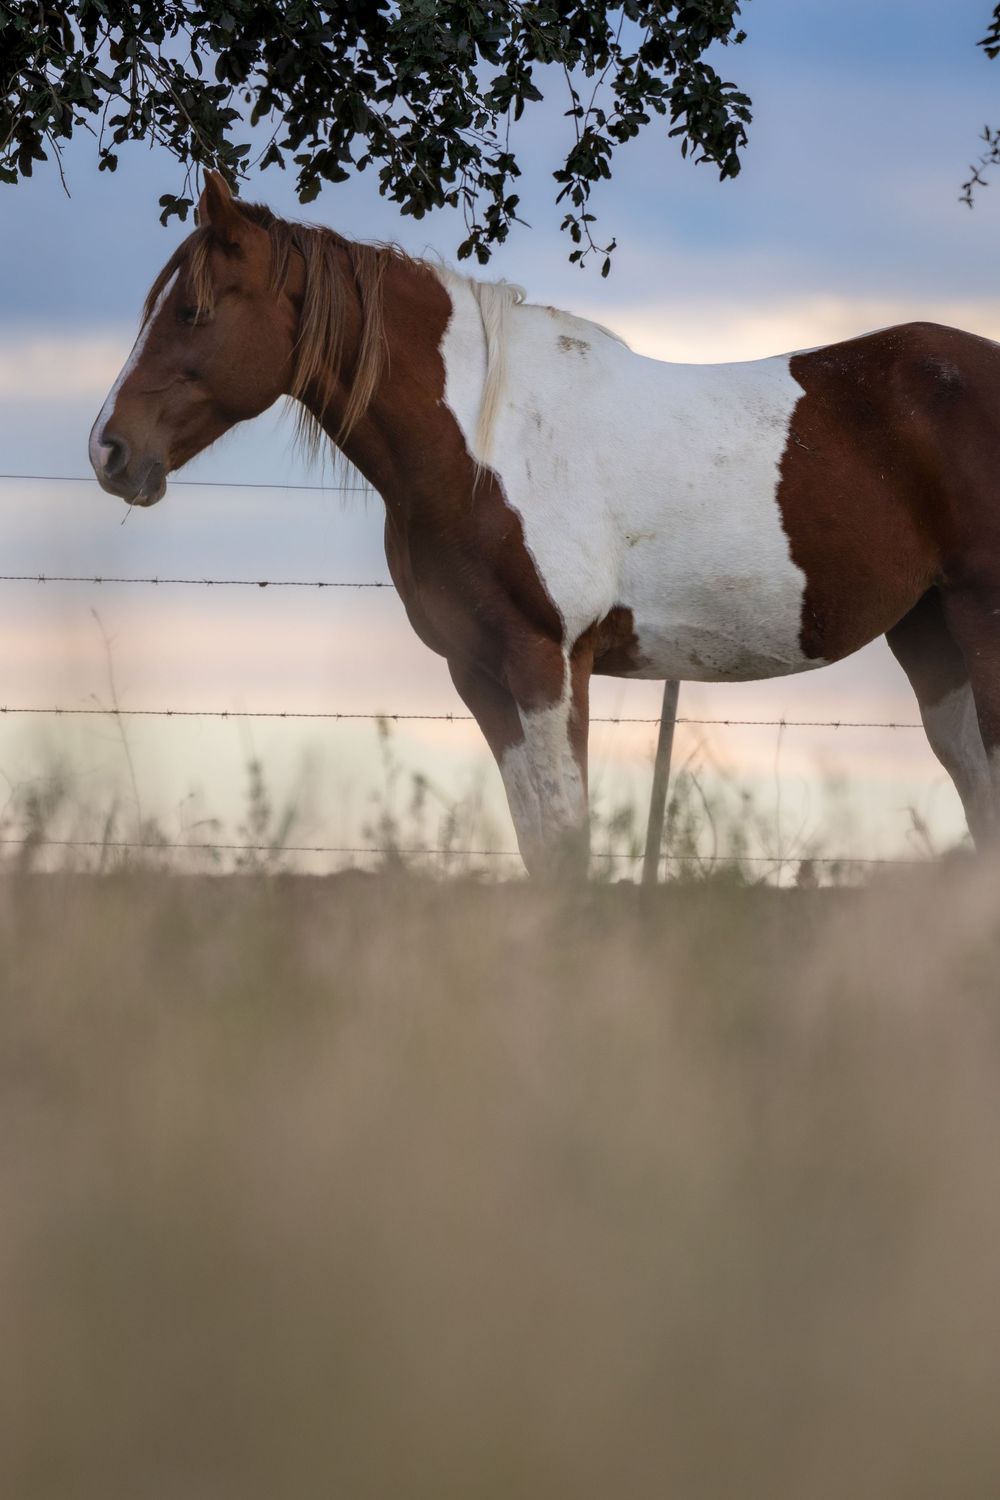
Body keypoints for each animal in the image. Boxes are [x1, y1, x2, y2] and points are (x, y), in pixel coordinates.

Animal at [90, 170, 1000, 876]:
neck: (488, 444)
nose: (109, 450)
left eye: (192, 312)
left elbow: (567, 847)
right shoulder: (479, 673)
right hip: (930, 634)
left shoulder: (548, 663)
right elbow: (539, 849)